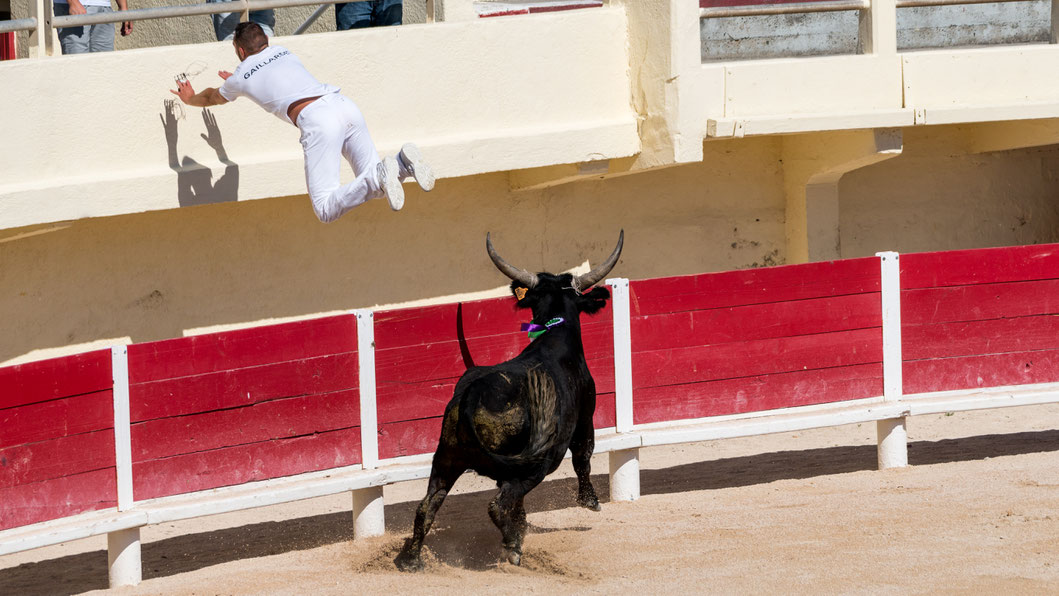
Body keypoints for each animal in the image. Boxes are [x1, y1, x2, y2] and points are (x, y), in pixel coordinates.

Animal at [396, 230, 622, 571]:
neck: (553, 336)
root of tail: (470, 397)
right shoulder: (586, 414)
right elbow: (584, 454)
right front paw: (590, 502)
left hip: (446, 459)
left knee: (427, 506)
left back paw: (411, 560)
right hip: (534, 465)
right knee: (498, 504)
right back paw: (513, 547)